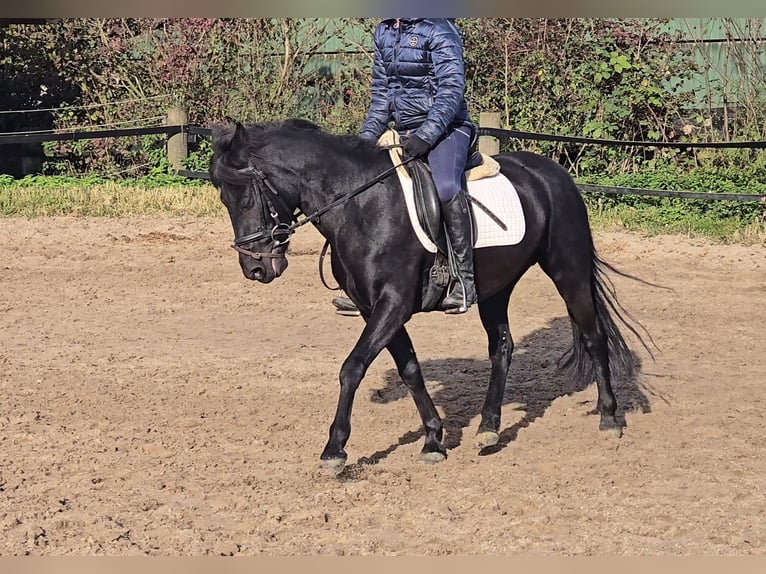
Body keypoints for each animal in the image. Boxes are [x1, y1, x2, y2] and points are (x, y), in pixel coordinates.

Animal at [212, 119, 656, 474]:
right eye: (223, 197)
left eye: (246, 195)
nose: (256, 269)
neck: (359, 205)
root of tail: (553, 173)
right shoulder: (375, 309)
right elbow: (410, 370)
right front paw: (433, 440)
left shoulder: (392, 304)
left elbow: (352, 367)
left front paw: (334, 450)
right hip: (495, 288)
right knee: (502, 348)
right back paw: (489, 428)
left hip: (568, 269)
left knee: (593, 336)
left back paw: (610, 418)